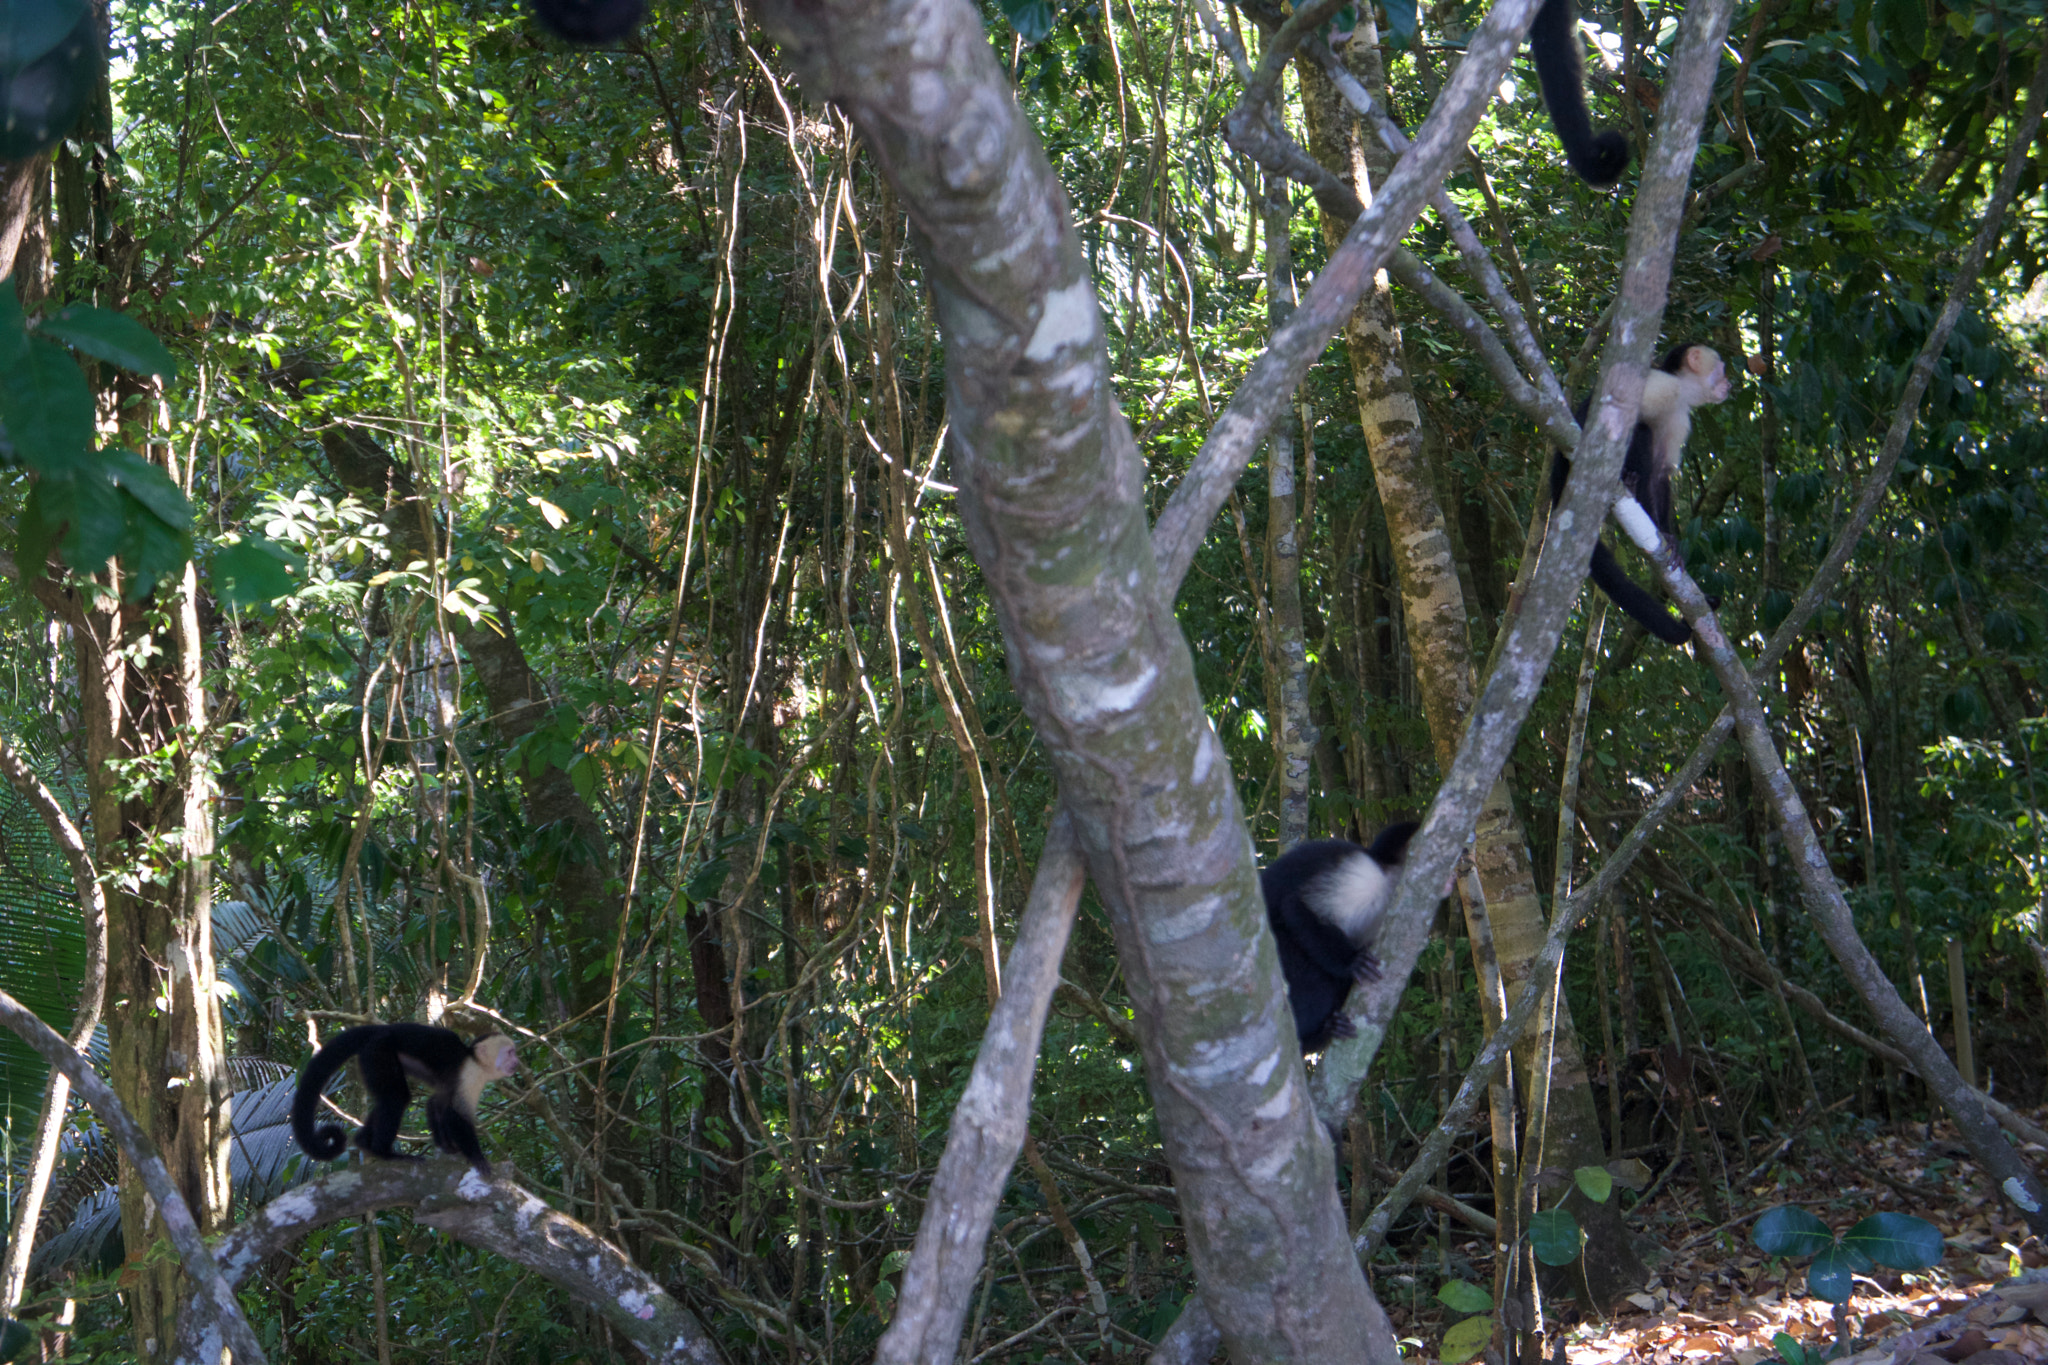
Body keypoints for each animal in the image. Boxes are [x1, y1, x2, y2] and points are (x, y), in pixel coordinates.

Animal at [292, 1023, 521, 1177]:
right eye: (510, 1052)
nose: (518, 1061)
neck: (473, 1059)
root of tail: (381, 1028)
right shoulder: (470, 1075)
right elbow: (455, 1114)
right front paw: (476, 1157)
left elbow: (436, 1103)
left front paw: (447, 1147)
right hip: (379, 1051)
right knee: (397, 1097)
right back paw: (384, 1152)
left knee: (388, 1098)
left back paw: (364, 1142)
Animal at [1549, 342, 1731, 645]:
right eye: (1721, 369)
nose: (1730, 383)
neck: (1682, 390)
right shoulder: (1663, 386)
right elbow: (1606, 413)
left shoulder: (1680, 418)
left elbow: (1661, 473)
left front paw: (1669, 536)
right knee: (1639, 430)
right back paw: (1629, 483)